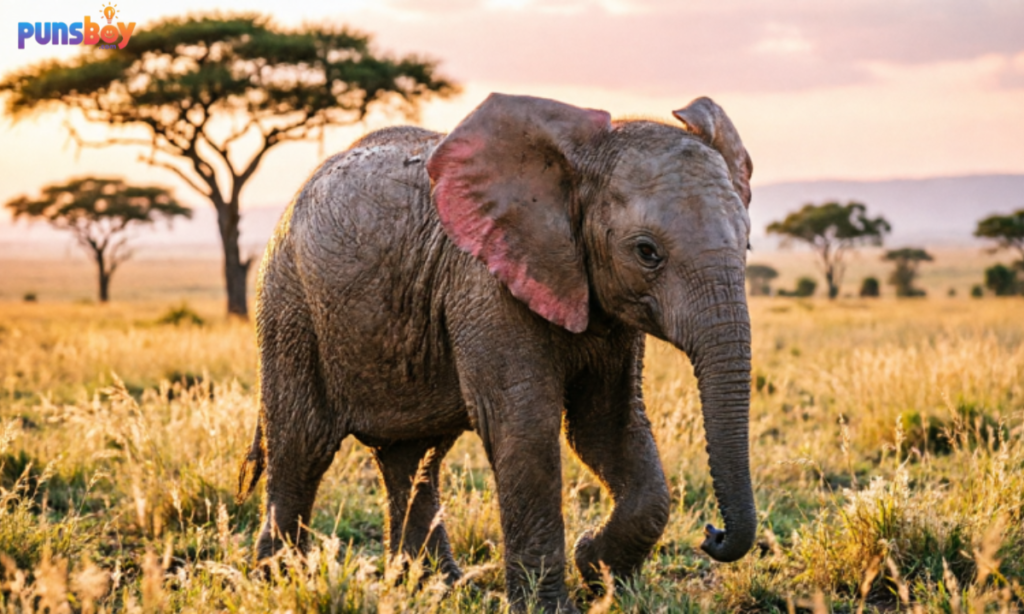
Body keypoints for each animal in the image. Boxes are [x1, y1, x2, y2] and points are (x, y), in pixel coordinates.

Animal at [237, 92, 755, 611]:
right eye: (647, 252)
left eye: (748, 243)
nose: (712, 534)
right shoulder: (486, 283)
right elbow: (525, 427)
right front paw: (554, 604)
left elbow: (608, 426)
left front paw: (595, 568)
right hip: (289, 304)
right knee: (302, 445)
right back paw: (280, 582)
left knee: (413, 458)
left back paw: (435, 588)